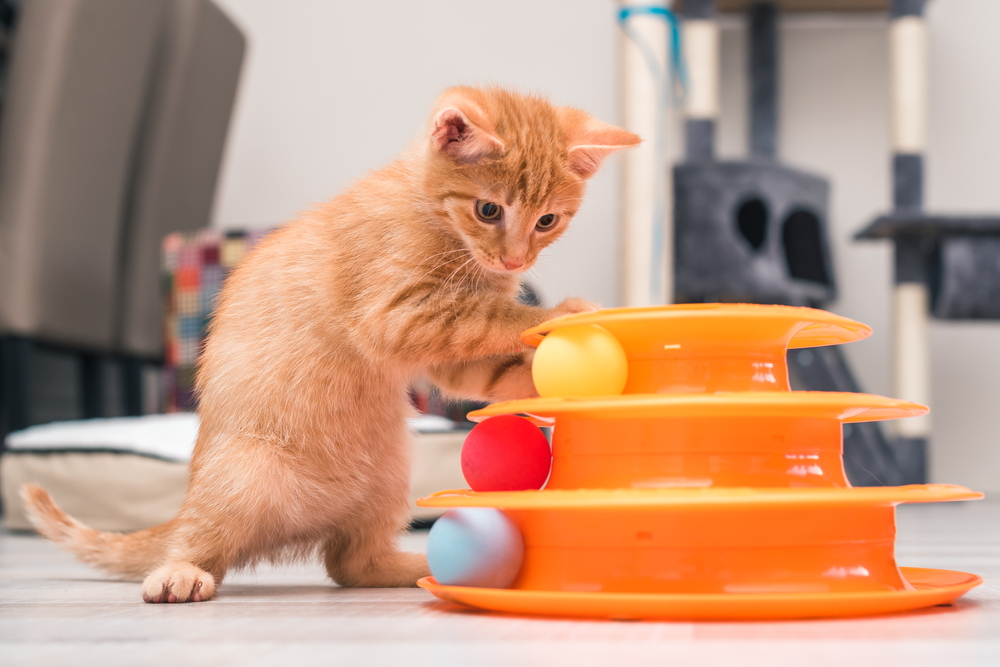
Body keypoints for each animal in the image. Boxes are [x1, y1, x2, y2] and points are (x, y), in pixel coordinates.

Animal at [25, 86, 640, 604]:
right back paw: (179, 572)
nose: (514, 261)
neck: (433, 215)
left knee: (349, 566)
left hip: (389, 474)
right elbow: (489, 314)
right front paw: (561, 313)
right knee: (203, 539)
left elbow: (483, 364)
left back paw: (411, 565)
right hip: (243, 472)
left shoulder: (443, 350)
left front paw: (541, 377)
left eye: (547, 221)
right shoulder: (398, 313)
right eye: (489, 209)